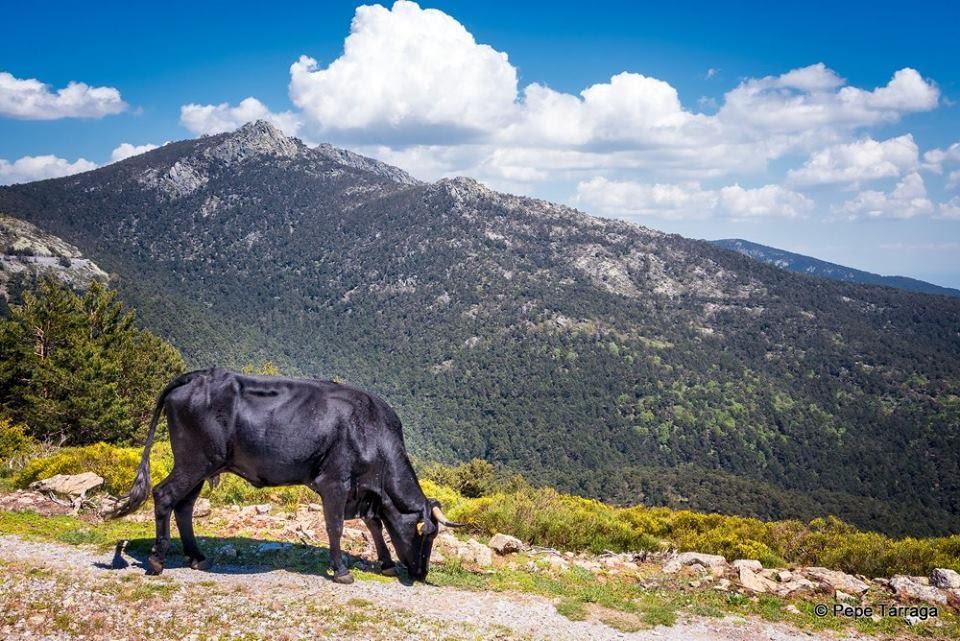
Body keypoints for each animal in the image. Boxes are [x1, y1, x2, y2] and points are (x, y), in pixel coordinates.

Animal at [108, 364, 462, 580]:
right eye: (426, 533)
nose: (421, 573)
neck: (371, 429)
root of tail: (196, 376)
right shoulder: (335, 482)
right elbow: (335, 526)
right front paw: (341, 571)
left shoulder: (364, 492)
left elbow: (375, 524)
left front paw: (386, 563)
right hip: (193, 461)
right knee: (164, 495)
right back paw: (157, 560)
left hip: (202, 465)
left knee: (184, 506)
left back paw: (197, 557)